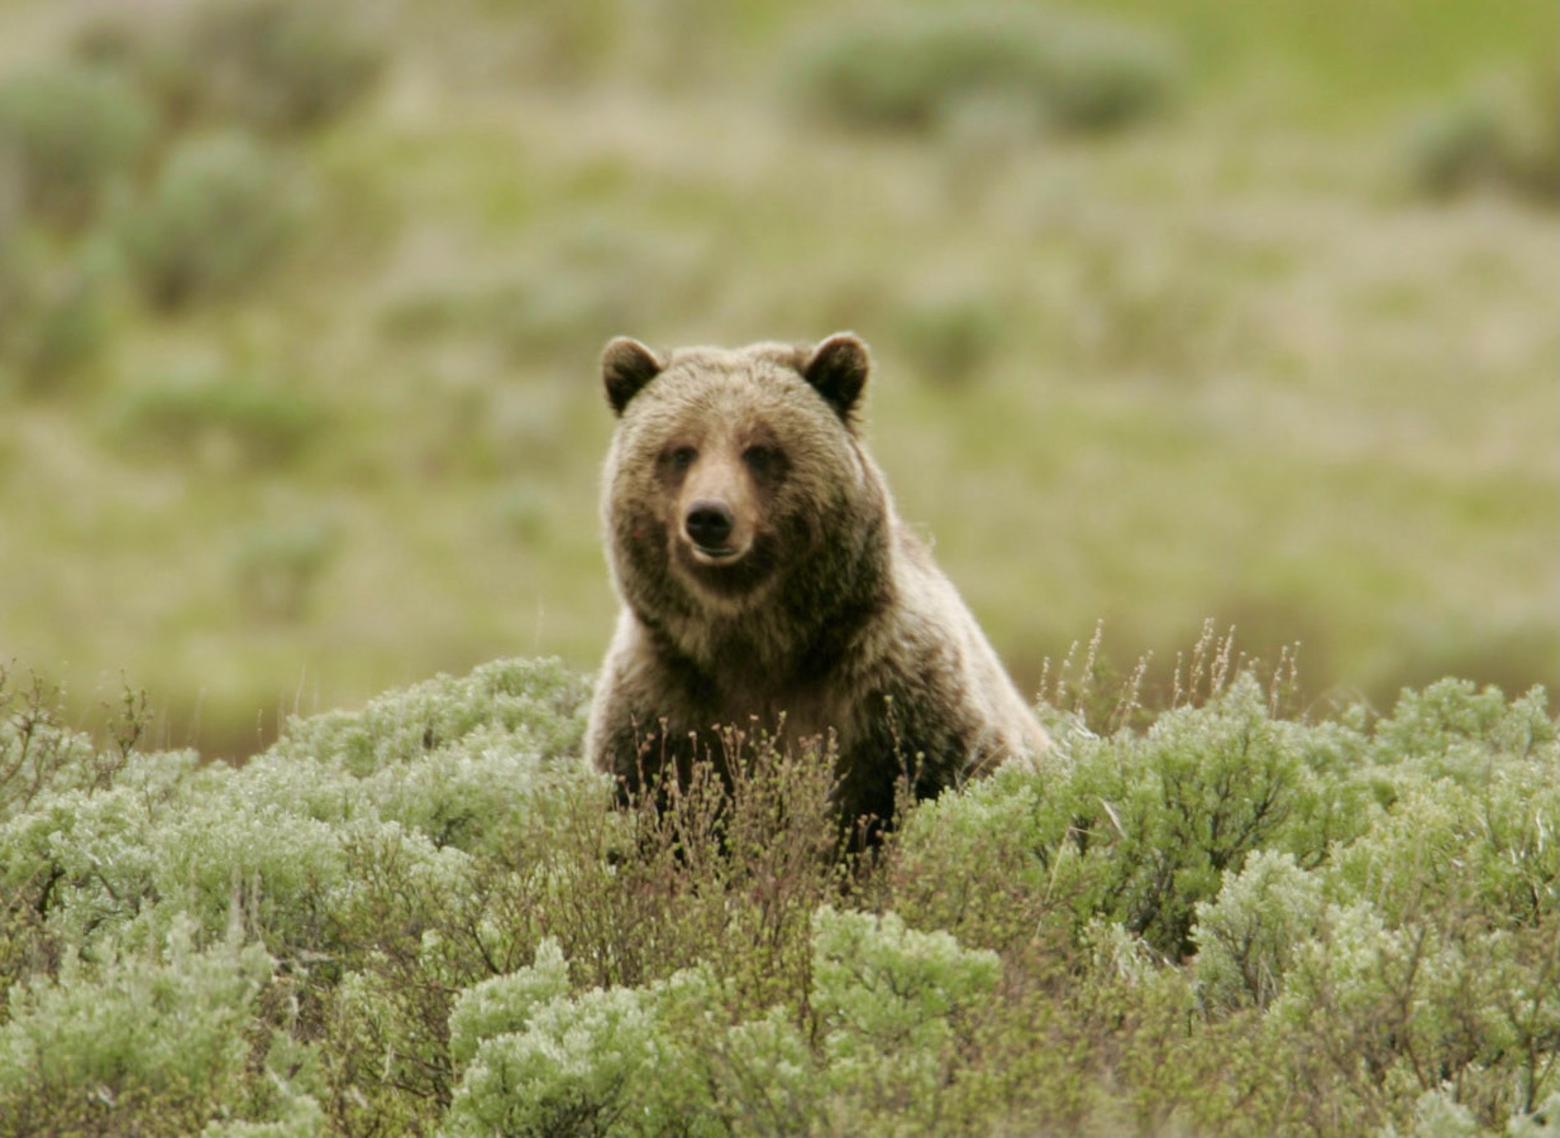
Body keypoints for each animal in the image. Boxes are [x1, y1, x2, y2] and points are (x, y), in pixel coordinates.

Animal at [586, 332, 1048, 830]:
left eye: (760, 450)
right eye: (680, 451)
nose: (708, 516)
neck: (755, 639)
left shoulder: (901, 696)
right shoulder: (660, 707)